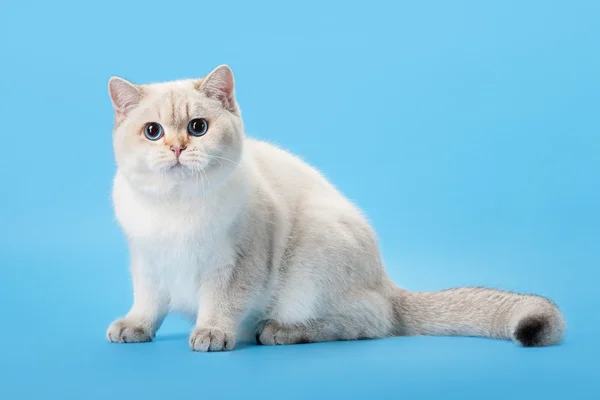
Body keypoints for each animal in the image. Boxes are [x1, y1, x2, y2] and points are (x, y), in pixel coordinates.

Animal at [106, 64, 568, 352]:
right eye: (153, 132)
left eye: (198, 128)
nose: (177, 148)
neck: (176, 208)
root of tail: (386, 281)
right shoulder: (147, 263)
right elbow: (147, 304)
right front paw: (134, 328)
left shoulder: (235, 267)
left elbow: (220, 305)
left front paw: (211, 334)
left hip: (313, 253)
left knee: (370, 322)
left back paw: (278, 331)